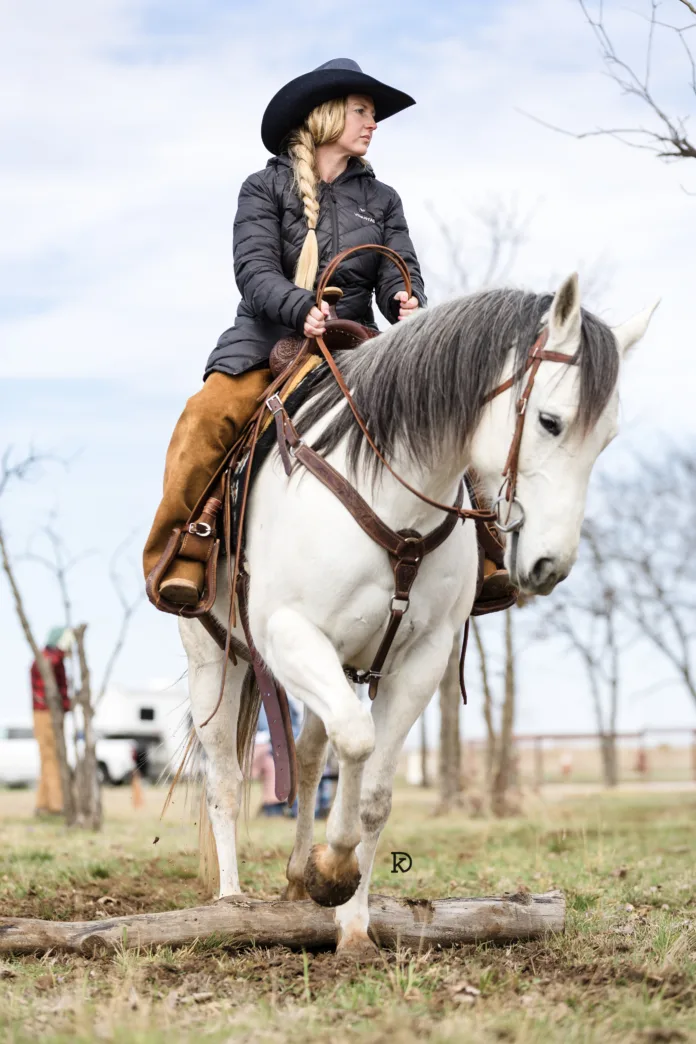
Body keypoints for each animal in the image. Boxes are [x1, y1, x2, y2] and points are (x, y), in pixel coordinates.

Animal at [179, 274, 656, 955]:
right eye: (550, 421)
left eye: (608, 437)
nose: (551, 565)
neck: (388, 494)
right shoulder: (289, 634)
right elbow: (356, 741)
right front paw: (334, 872)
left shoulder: (421, 660)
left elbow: (373, 791)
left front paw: (349, 916)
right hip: (214, 663)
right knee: (223, 776)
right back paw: (229, 901)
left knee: (311, 754)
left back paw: (297, 877)